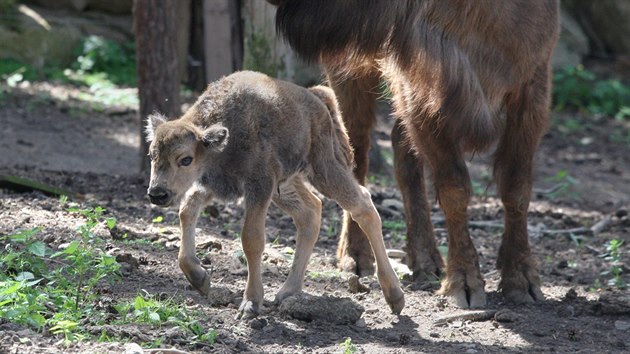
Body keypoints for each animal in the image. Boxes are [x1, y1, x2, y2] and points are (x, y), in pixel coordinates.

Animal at [146, 70, 408, 316]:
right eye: (151, 155)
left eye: (185, 159)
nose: (157, 193)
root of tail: (317, 97)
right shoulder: (212, 185)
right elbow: (187, 211)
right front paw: (199, 278)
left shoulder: (259, 186)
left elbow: (251, 239)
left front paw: (251, 302)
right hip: (286, 185)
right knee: (311, 211)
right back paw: (287, 292)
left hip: (323, 170)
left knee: (363, 206)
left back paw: (394, 296)